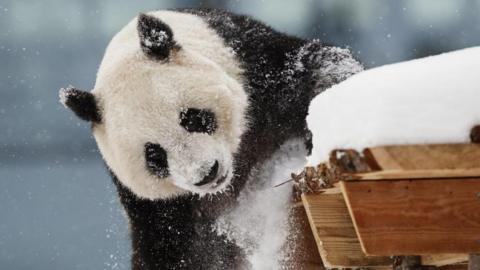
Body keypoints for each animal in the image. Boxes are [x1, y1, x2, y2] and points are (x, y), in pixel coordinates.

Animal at [58, 8, 362, 270]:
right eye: (154, 155)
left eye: (192, 118)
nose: (206, 174)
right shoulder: (158, 207)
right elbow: (177, 252)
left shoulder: (256, 69)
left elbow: (316, 70)